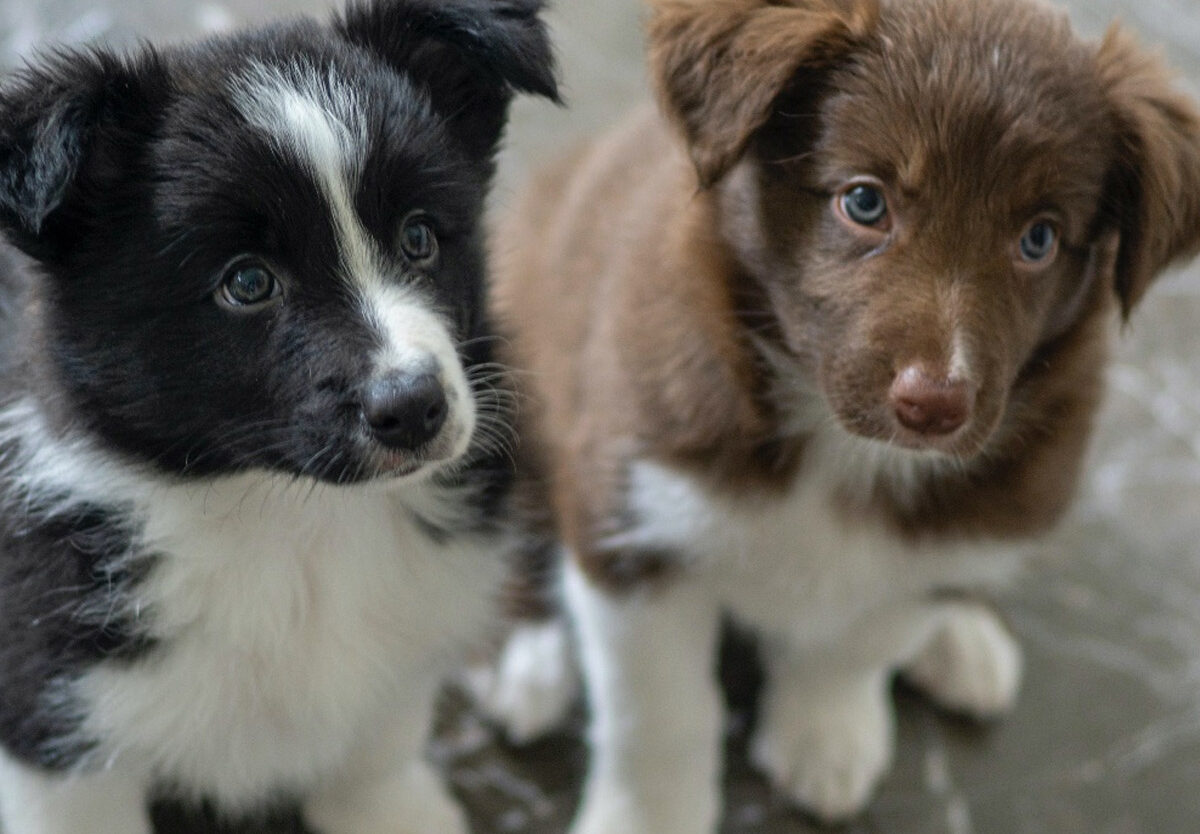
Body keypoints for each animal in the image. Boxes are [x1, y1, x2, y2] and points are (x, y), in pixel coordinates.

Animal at [0, 1, 556, 834]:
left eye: (419, 237)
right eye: (247, 283)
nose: (414, 407)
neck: (289, 520)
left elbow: (377, 745)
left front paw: (392, 811)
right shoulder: (53, 720)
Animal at [482, 0, 1200, 830]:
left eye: (1039, 239)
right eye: (864, 201)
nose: (934, 404)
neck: (837, 443)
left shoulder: (954, 523)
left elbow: (862, 639)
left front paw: (824, 734)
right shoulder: (634, 518)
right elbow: (657, 712)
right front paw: (648, 815)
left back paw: (961, 634)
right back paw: (526, 660)